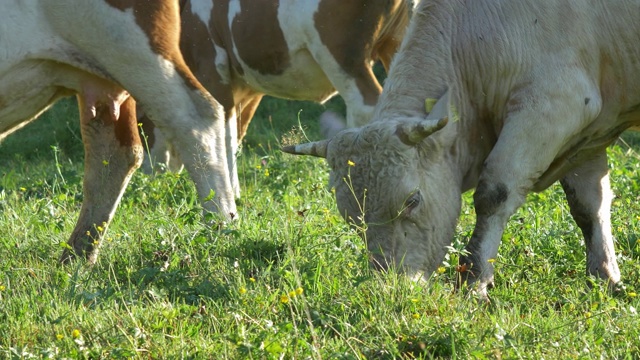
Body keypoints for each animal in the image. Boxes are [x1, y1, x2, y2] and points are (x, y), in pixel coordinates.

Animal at [139, 0, 416, 197]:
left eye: (141, 119)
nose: (149, 175)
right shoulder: (246, 87)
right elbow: (235, 135)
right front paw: (236, 192)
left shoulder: (211, 67)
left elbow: (222, 132)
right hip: (397, 44)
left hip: (342, 56)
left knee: (365, 107)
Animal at [284, 0, 640, 300]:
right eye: (353, 219)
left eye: (412, 201)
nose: (394, 287)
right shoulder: (590, 133)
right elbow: (588, 206)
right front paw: (605, 277)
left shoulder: (552, 107)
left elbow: (494, 194)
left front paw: (474, 280)